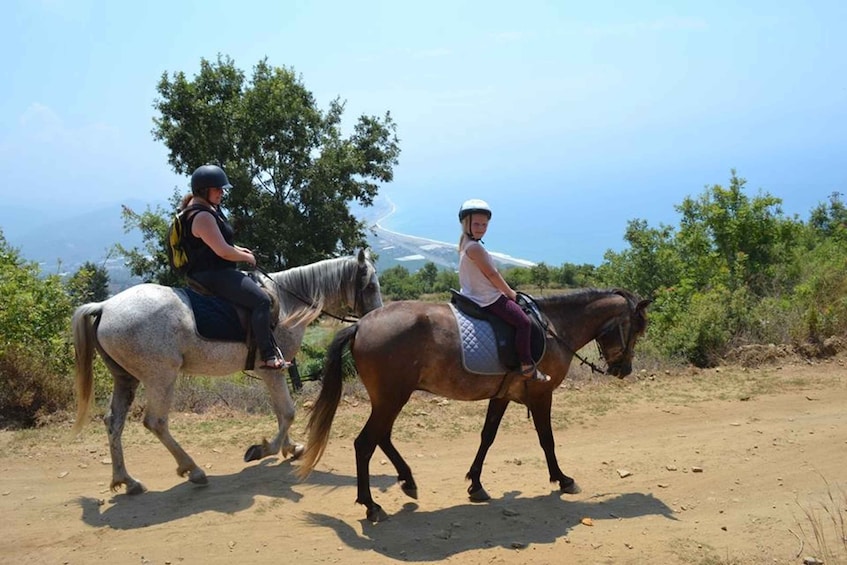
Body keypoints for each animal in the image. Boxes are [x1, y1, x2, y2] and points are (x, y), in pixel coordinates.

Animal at [71, 251, 382, 494]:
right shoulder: (272, 370)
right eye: (369, 286)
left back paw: (126, 481)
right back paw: (193, 470)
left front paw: (290, 448)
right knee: (156, 422)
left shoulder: (270, 373)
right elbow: (288, 412)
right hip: (161, 377)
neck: (287, 303)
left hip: (126, 379)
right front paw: (263, 450)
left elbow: (281, 411)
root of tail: (104, 307)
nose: (376, 318)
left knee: (114, 422)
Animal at [302, 288, 652, 524]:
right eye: (636, 328)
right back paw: (371, 504)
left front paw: (476, 484)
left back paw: (407, 481)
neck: (553, 327)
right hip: (391, 398)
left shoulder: (502, 395)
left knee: (382, 437)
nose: (624, 370)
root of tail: (360, 324)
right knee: (365, 443)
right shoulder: (541, 395)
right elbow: (547, 440)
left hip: (390, 399)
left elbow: (487, 437)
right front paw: (562, 479)